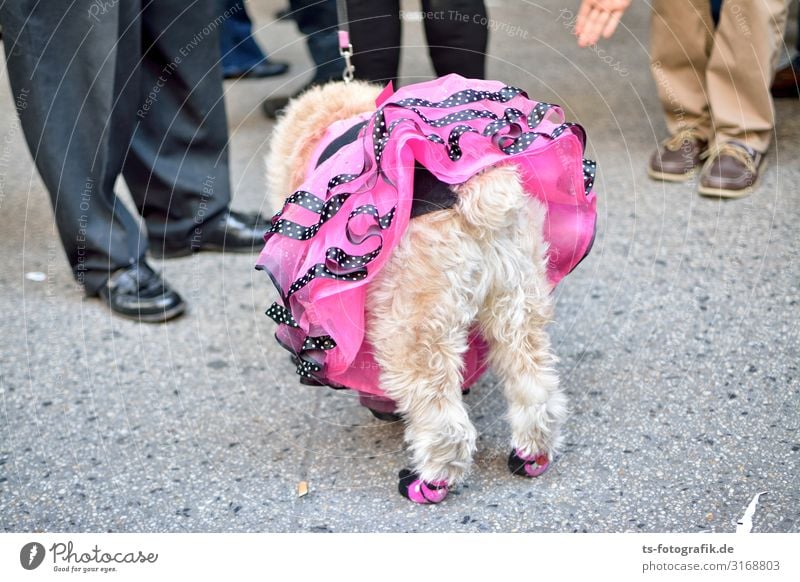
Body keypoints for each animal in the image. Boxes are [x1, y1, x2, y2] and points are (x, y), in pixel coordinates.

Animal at [260, 75, 596, 504]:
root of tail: (474, 198)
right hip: (517, 305)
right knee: (534, 386)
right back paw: (532, 455)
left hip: (416, 334)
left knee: (445, 423)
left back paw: (432, 481)